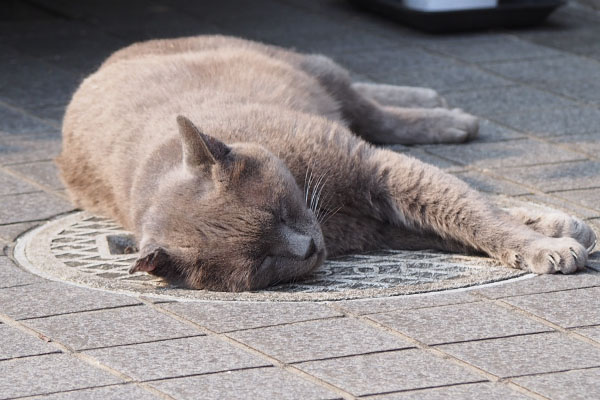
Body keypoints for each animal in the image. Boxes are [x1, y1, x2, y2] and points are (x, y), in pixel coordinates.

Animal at [56, 35, 596, 290]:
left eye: (278, 211)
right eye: (261, 258)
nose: (309, 247)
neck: (329, 210)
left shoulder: (379, 168)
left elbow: (474, 212)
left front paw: (549, 241)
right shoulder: (379, 226)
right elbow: (463, 222)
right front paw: (553, 232)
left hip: (311, 68)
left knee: (367, 104)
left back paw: (445, 112)